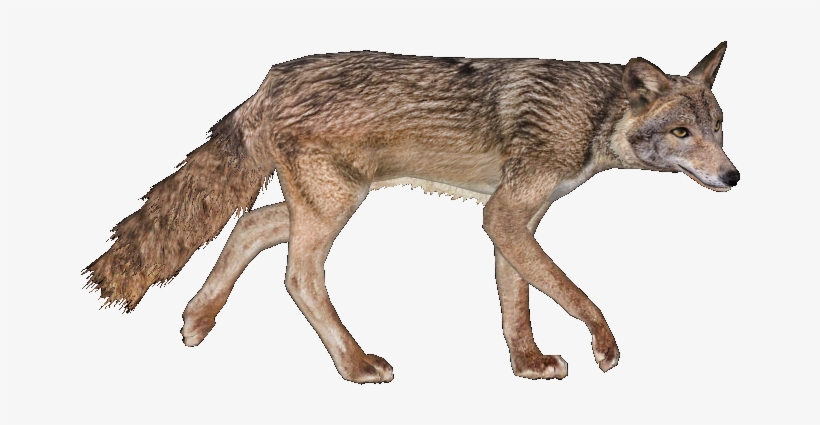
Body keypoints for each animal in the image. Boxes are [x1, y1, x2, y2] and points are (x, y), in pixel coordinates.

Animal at [84, 42, 738, 383]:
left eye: (718, 126)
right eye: (681, 132)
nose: (734, 177)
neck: (594, 115)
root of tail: (270, 79)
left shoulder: (515, 220)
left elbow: (518, 303)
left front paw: (526, 364)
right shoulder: (505, 216)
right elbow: (574, 293)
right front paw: (604, 346)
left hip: (326, 202)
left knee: (250, 226)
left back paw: (197, 319)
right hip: (335, 207)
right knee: (298, 277)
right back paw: (353, 365)